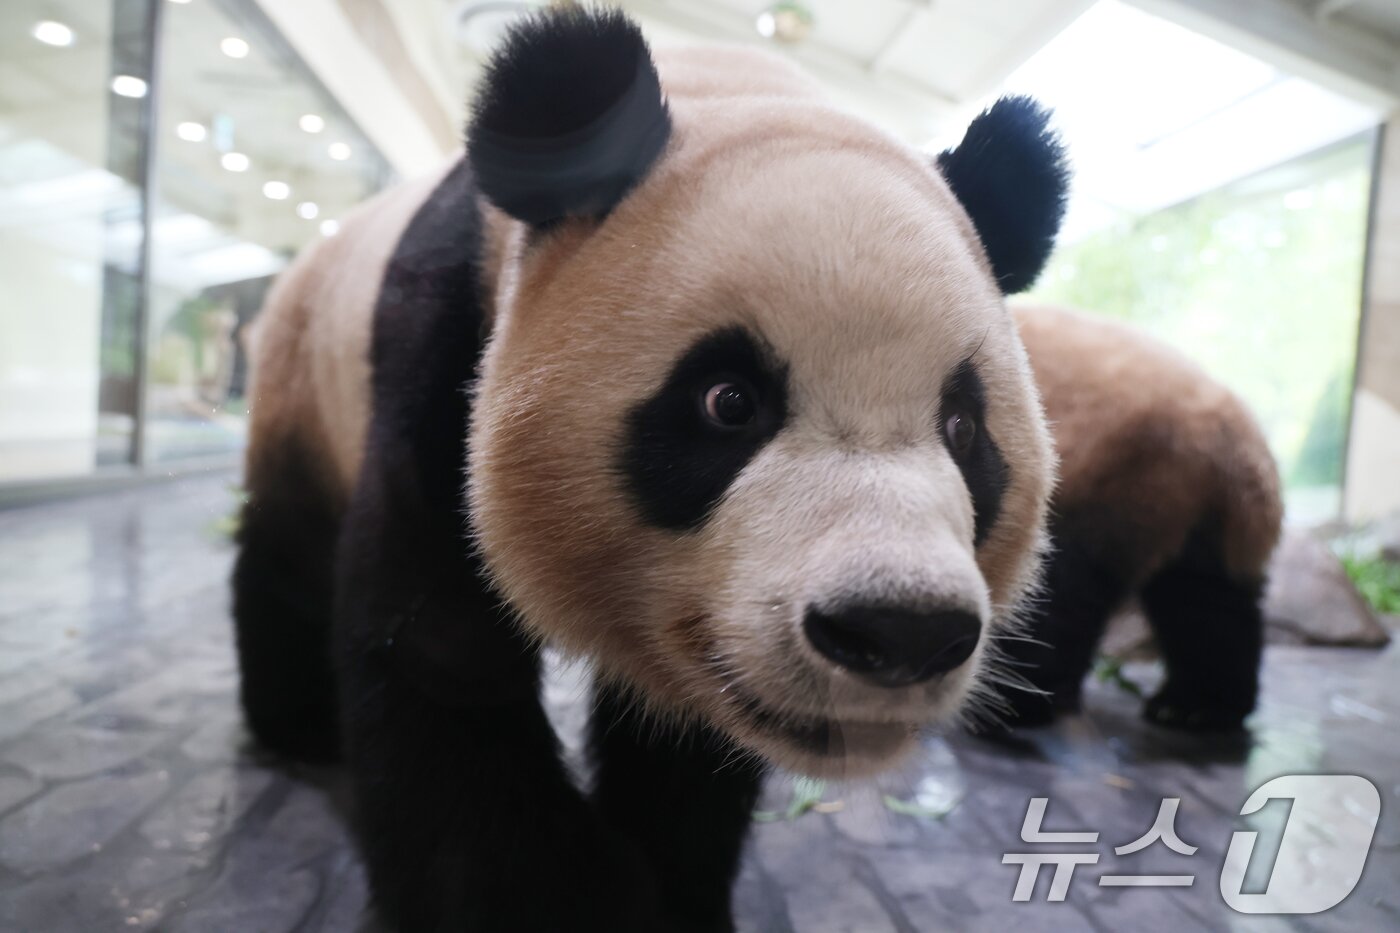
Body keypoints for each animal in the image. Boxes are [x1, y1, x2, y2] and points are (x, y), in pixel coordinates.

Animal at [232, 8, 1069, 931]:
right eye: (728, 401)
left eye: (962, 428)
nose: (900, 631)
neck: (721, 84)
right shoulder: (441, 351)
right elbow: (436, 652)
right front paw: (572, 892)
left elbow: (687, 753)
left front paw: (673, 887)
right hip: (305, 380)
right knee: (288, 543)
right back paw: (298, 721)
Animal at [994, 304, 1284, 732]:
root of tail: (1231, 441)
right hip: (1202, 519)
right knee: (1206, 601)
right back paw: (1198, 706)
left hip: (1110, 470)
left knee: (1058, 591)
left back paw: (1019, 699)